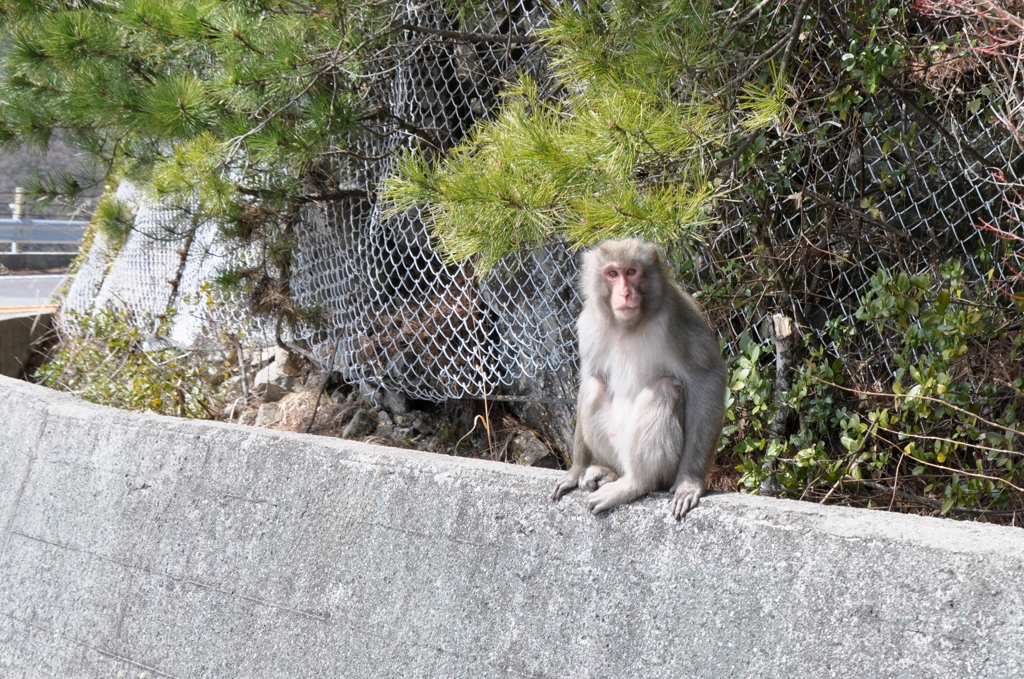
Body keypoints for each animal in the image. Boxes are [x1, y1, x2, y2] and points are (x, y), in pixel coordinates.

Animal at [552, 238, 729, 520]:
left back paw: (635, 483)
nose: (625, 293)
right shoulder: (587, 325)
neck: (627, 325)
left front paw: (690, 481)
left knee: (664, 389)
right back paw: (608, 472)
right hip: (615, 448)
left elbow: (707, 379)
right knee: (594, 386)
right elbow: (589, 377)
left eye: (632, 272)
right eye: (613, 273)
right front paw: (575, 471)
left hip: (666, 466)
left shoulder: (678, 315)